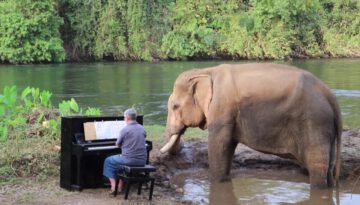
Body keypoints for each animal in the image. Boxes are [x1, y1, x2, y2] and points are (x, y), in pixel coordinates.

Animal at [160, 63, 340, 188]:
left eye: (175, 106)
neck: (207, 71)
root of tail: (330, 95)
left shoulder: (222, 109)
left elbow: (219, 145)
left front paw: (216, 182)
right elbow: (228, 146)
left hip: (314, 122)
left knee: (317, 167)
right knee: (329, 168)